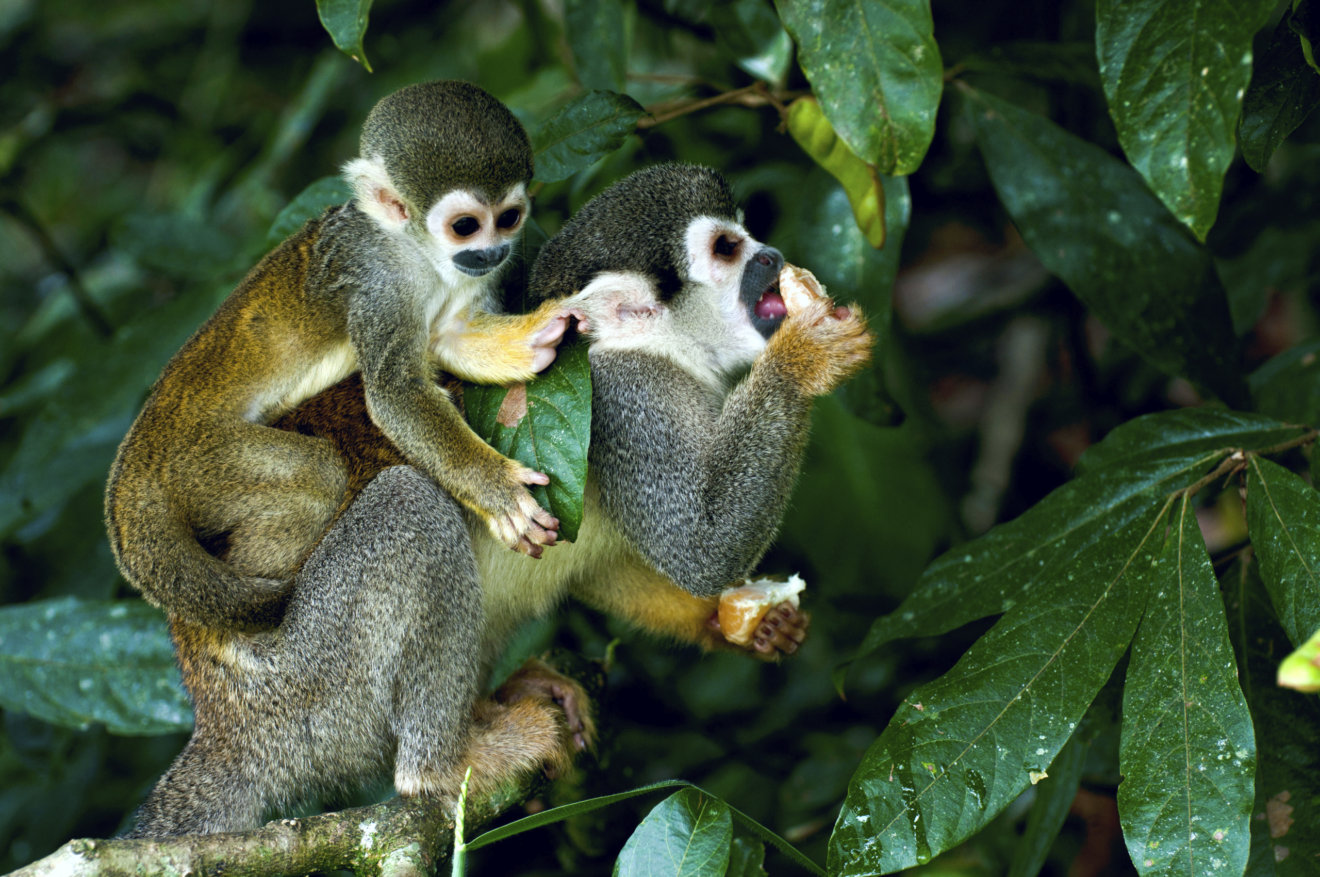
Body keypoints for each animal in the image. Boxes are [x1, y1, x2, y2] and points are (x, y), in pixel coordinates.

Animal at [106, 78, 572, 633]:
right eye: (466, 226)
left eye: (508, 219)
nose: (492, 253)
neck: (414, 250)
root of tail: (138, 458)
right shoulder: (378, 282)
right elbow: (395, 394)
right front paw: (496, 490)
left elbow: (447, 336)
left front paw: (535, 337)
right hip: (199, 462)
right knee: (318, 476)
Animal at [126, 161, 876, 840]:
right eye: (727, 248)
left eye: (746, 235)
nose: (772, 256)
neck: (663, 348)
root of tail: (223, 723)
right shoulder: (628, 400)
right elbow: (699, 546)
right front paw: (805, 355)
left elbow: (612, 564)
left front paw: (735, 620)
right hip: (309, 689)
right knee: (409, 508)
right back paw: (443, 763)